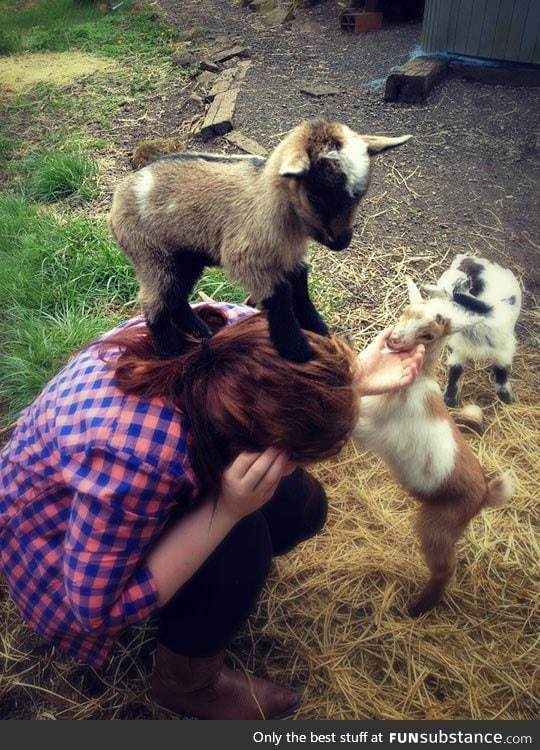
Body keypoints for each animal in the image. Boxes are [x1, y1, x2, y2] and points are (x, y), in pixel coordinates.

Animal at [110, 119, 414, 362]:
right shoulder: (246, 258)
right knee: (154, 303)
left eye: (360, 195)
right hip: (151, 254)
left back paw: (200, 329)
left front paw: (317, 328)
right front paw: (297, 349)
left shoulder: (289, 257)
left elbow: (300, 285)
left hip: (184, 257)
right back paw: (171, 352)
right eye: (315, 196)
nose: (341, 242)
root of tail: (116, 201)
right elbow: (281, 295)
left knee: (176, 295)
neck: (270, 199)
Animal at [352, 280, 512, 620]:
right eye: (406, 311)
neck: (413, 385)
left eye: (428, 335)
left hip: (440, 525)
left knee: (445, 567)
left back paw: (417, 608)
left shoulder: (373, 428)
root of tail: (484, 493)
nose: (395, 340)